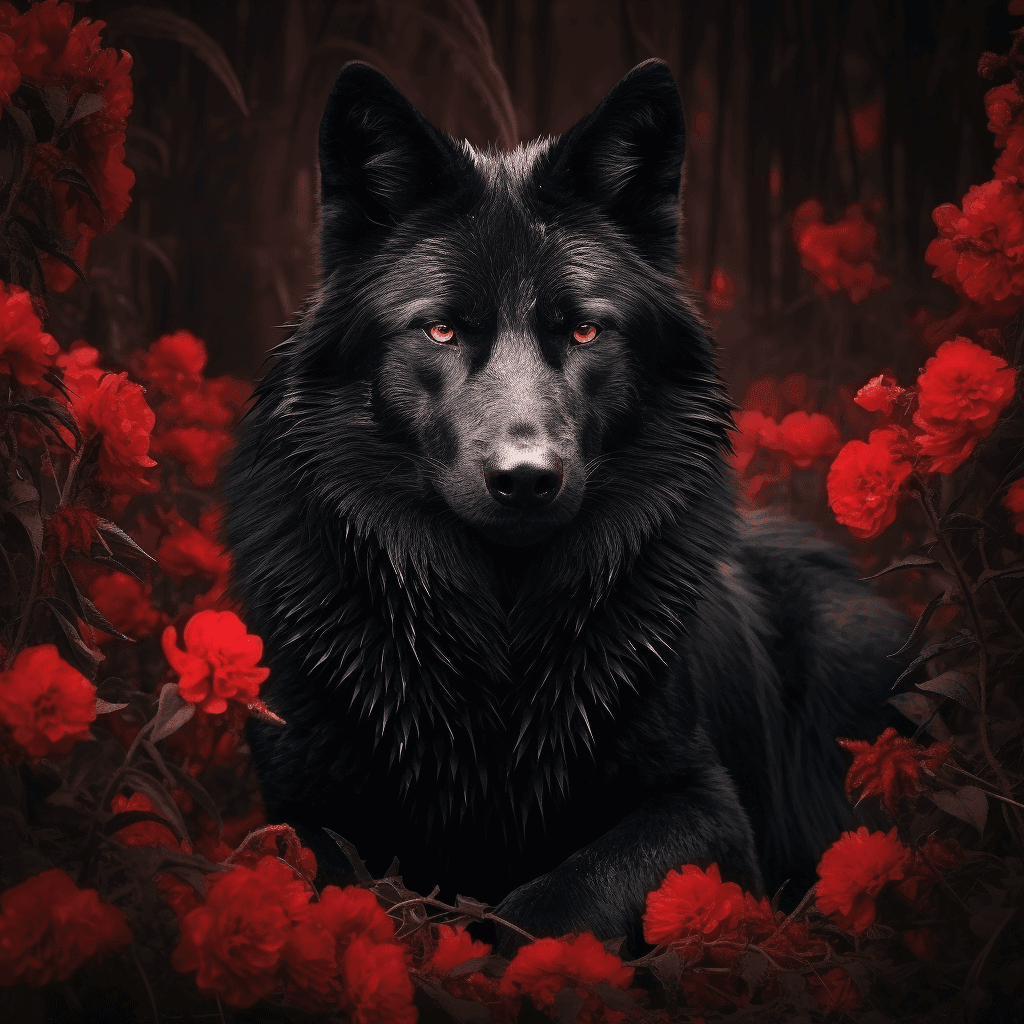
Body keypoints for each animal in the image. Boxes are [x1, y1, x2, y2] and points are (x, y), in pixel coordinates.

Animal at [224, 58, 906, 953]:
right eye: (441, 330)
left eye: (583, 332)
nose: (525, 478)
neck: (500, 639)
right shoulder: (295, 814)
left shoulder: (706, 804)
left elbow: (555, 904)